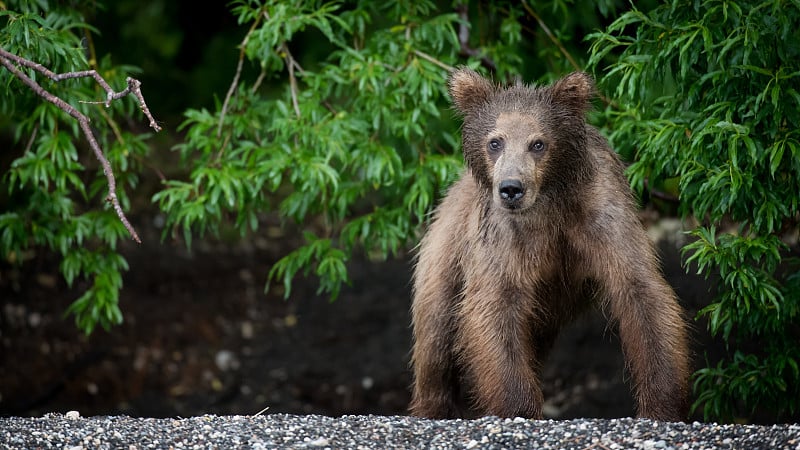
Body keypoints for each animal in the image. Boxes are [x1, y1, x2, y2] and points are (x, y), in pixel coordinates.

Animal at [410, 67, 692, 422]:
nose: (511, 188)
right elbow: (496, 304)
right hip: (447, 250)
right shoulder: (506, 236)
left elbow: (640, 292)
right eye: (495, 141)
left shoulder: (599, 215)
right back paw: (432, 407)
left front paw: (662, 405)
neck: (549, 205)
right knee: (437, 337)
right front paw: (519, 407)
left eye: (538, 143)